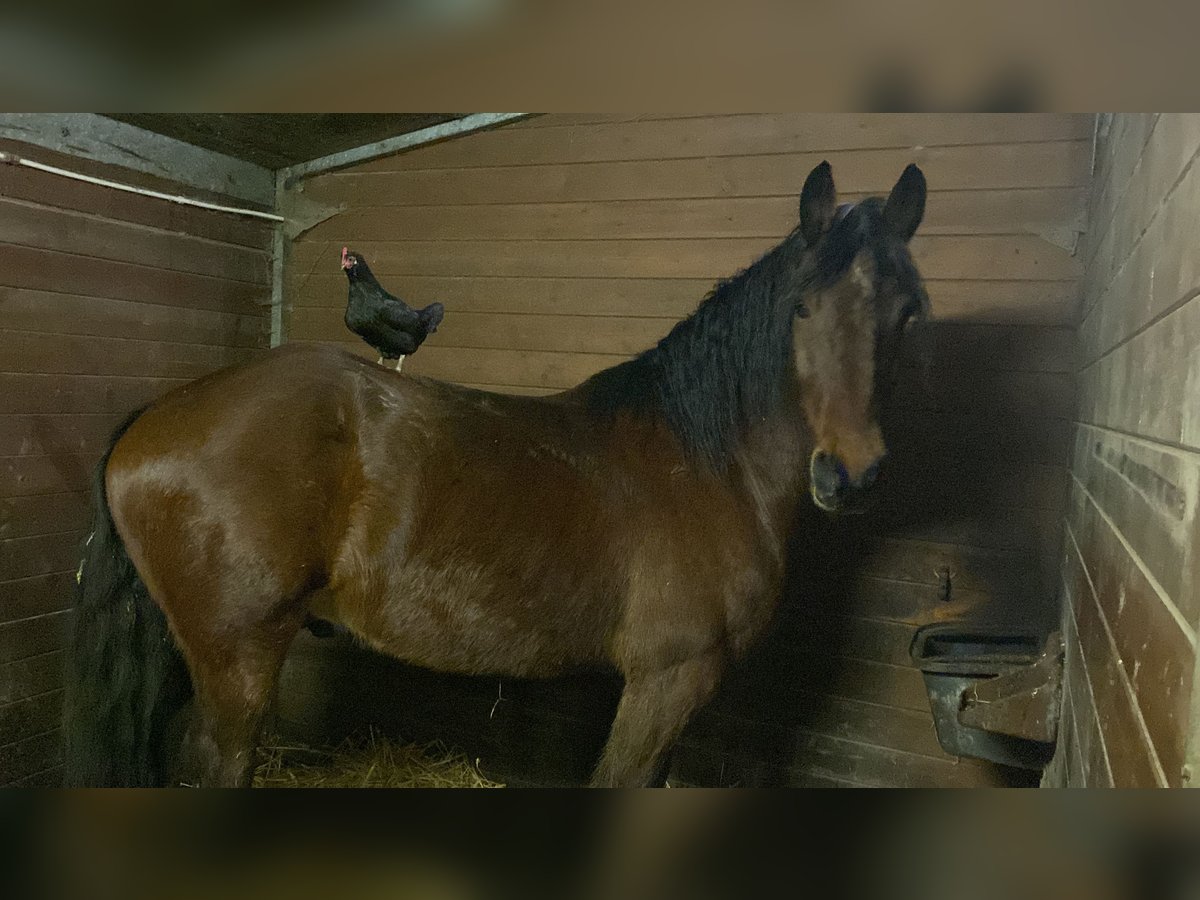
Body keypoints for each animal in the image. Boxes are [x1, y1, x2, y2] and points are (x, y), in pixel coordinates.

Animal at [63, 162, 926, 787]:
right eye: (802, 308)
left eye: (909, 311)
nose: (850, 475)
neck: (707, 462)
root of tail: (155, 416)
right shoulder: (667, 680)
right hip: (238, 660)